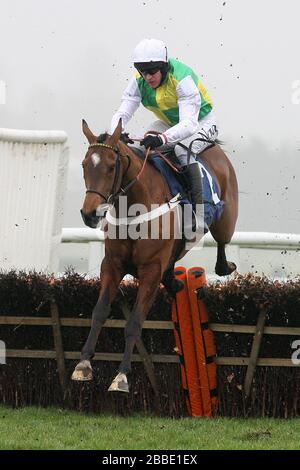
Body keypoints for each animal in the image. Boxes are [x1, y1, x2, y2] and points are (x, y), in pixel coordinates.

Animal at [71, 119, 238, 392]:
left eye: (111, 167)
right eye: (85, 165)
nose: (89, 214)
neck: (134, 209)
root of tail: (214, 149)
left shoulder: (150, 271)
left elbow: (135, 323)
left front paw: (121, 376)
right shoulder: (111, 266)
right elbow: (99, 312)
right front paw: (83, 364)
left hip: (226, 220)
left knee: (223, 243)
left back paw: (224, 266)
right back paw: (173, 281)